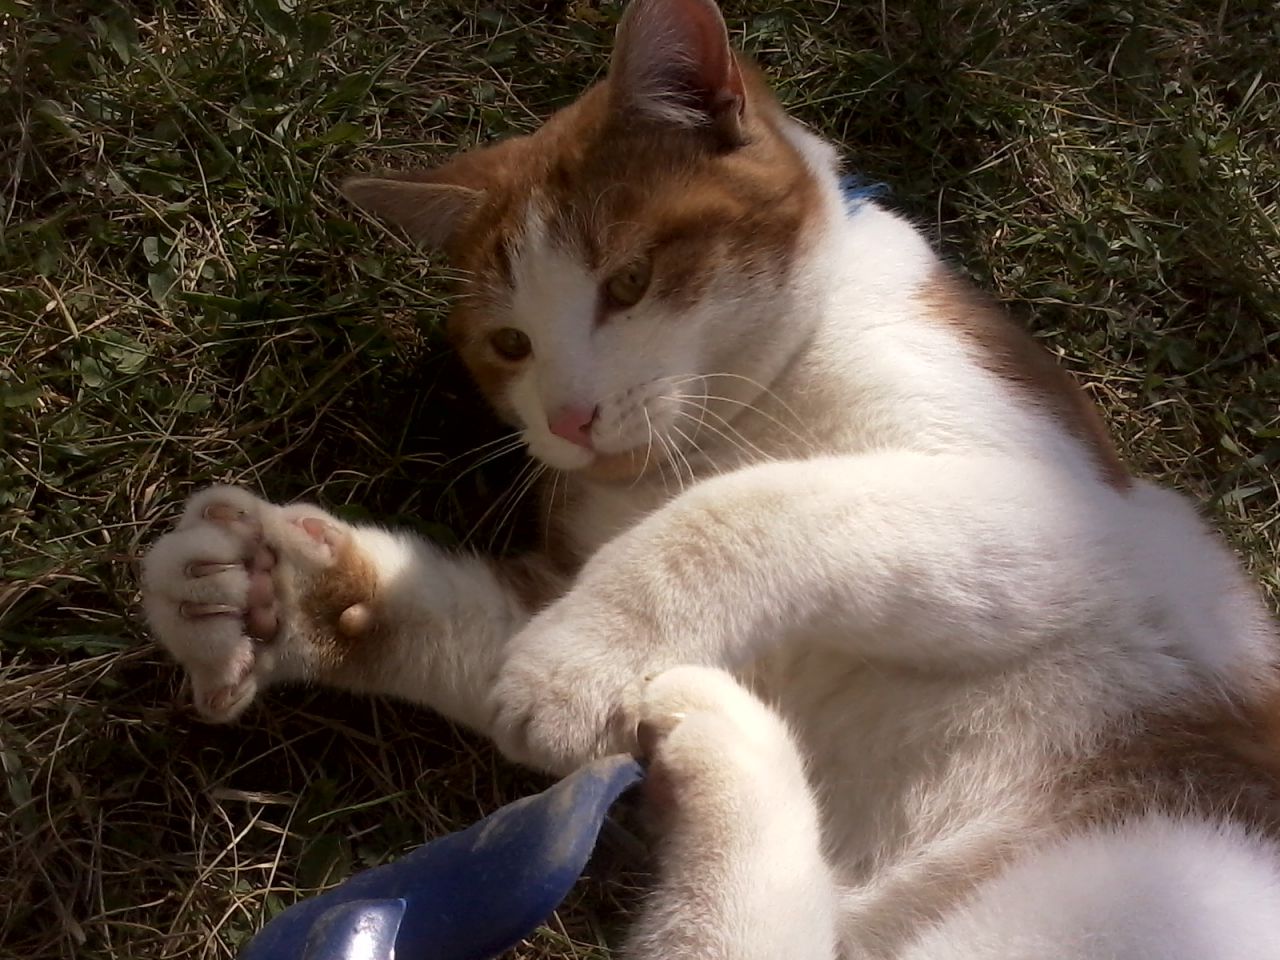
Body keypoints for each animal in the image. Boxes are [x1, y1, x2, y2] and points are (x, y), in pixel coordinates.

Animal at [139, 0, 1280, 956]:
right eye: (509, 343)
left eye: (630, 281)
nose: (569, 418)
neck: (737, 417)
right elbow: (483, 630)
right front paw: (269, 594)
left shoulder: (1065, 521)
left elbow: (754, 507)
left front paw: (574, 661)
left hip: (1146, 877)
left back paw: (724, 736)